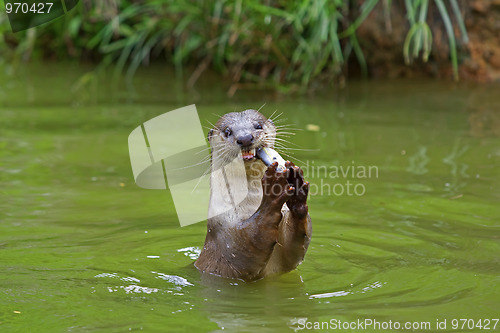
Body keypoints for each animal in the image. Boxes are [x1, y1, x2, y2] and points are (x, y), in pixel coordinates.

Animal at [195, 109, 312, 280]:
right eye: (228, 131)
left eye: (258, 126)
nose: (244, 138)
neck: (251, 206)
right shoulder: (225, 232)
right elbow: (249, 241)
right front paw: (272, 187)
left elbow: (296, 248)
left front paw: (297, 188)